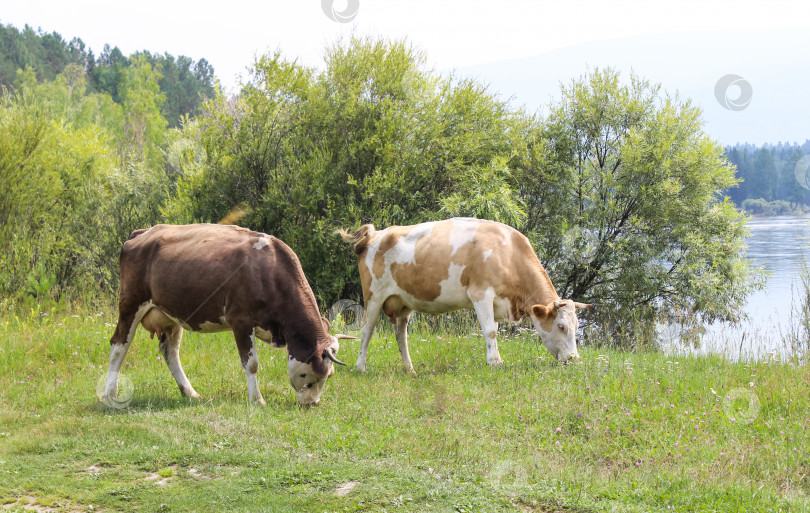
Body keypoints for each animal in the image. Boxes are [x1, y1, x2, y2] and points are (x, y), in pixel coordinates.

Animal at [103, 222, 350, 406]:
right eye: (311, 377)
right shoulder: (240, 321)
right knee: (119, 345)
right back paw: (110, 394)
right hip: (131, 303)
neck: (269, 272)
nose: (312, 404)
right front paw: (257, 400)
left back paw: (190, 392)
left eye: (329, 377)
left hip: (171, 314)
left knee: (170, 352)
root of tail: (142, 232)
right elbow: (251, 364)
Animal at [338, 216, 592, 368]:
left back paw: (409, 369)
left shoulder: (496, 302)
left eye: (577, 327)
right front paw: (495, 362)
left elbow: (493, 331)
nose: (574, 359)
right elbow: (490, 331)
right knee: (367, 330)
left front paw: (495, 359)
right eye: (561, 326)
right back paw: (361, 367)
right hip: (373, 296)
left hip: (403, 302)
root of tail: (375, 235)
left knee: (401, 335)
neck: (508, 252)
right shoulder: (481, 293)